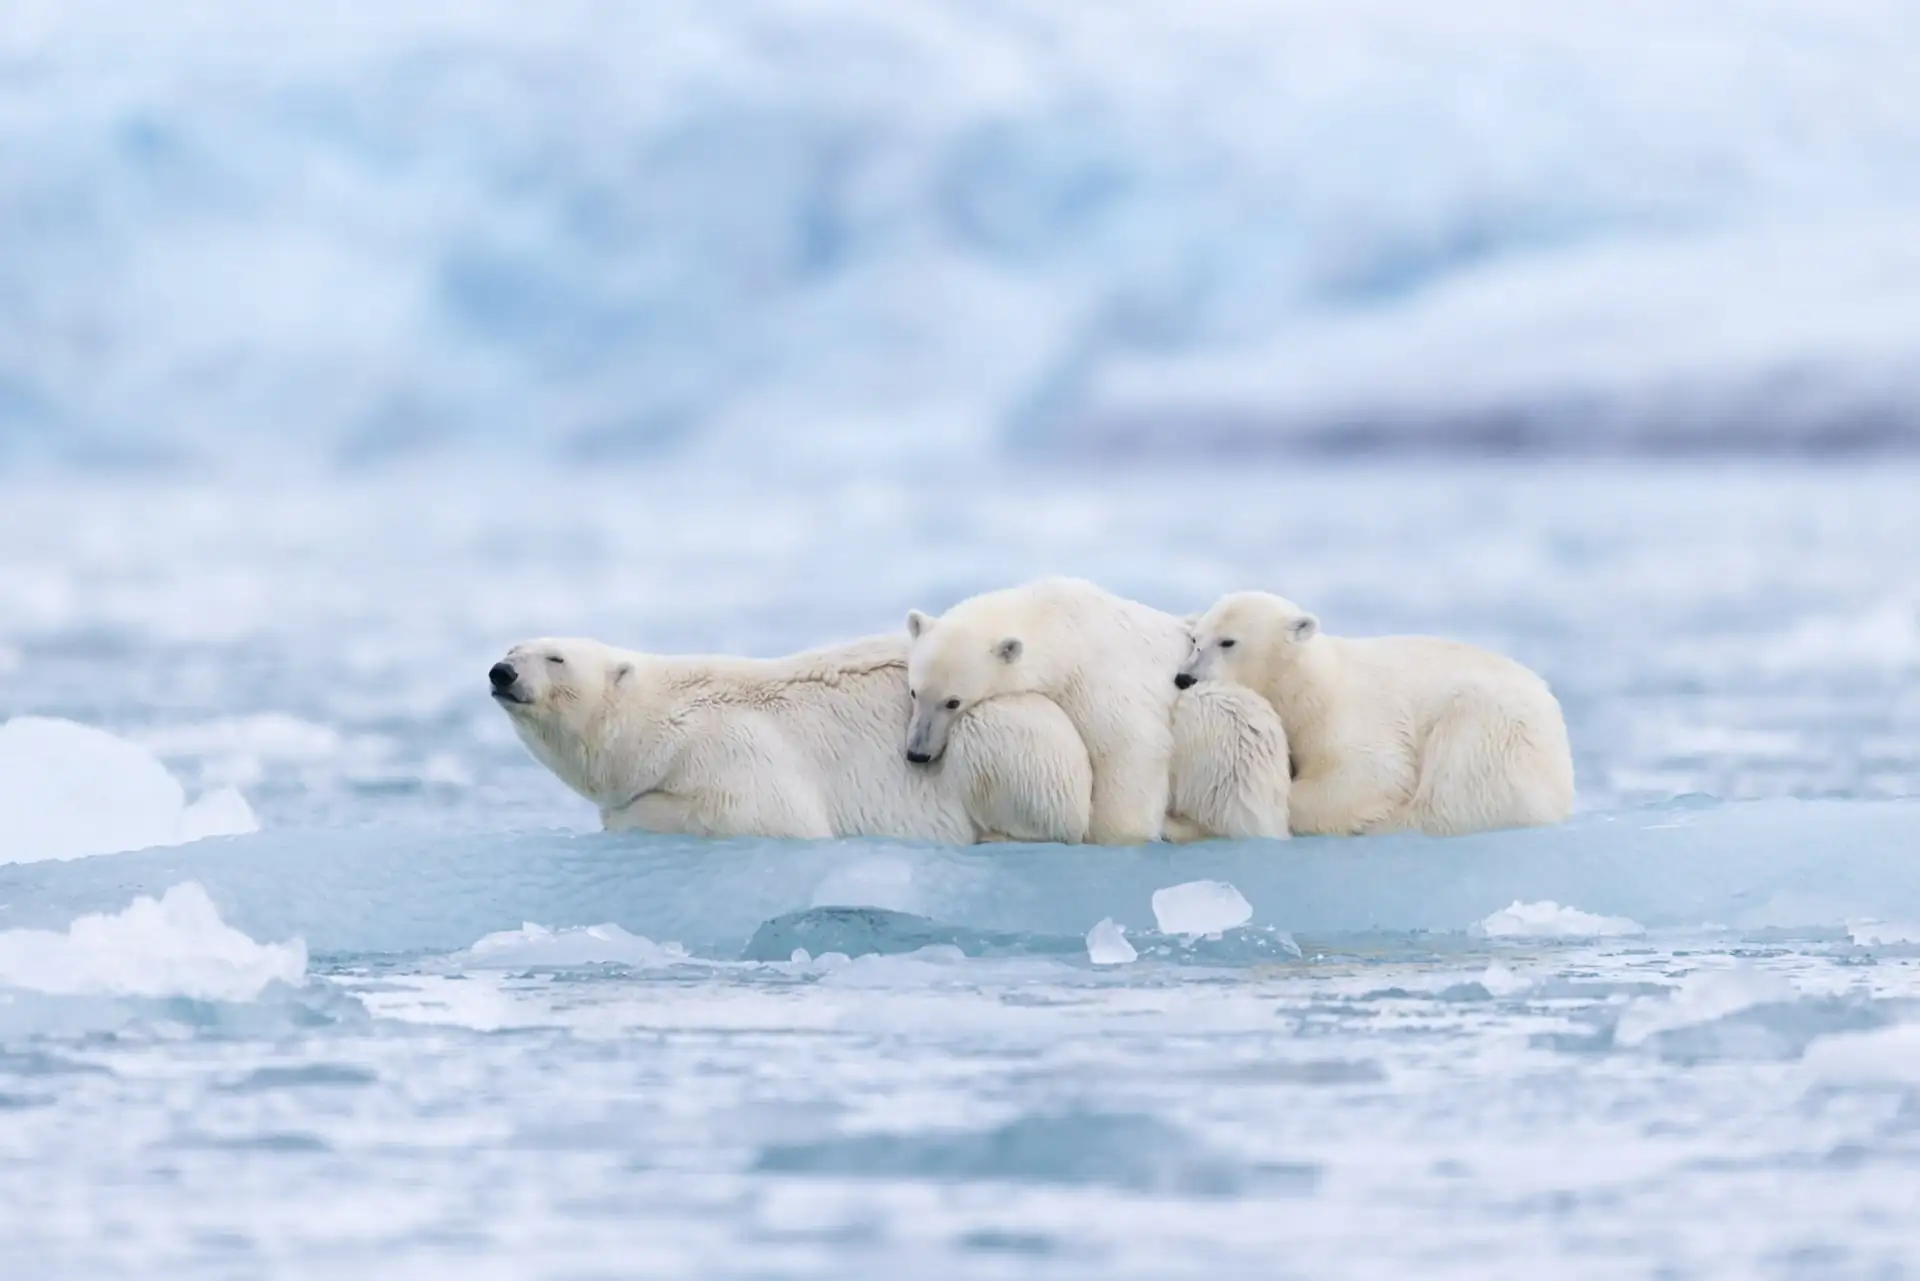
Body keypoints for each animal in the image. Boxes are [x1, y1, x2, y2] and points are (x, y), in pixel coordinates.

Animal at [489, 634, 1092, 843]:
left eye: (555, 657)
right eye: (514, 645)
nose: (502, 671)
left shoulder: (733, 746)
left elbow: (762, 814)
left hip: (1009, 727)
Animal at [904, 576, 1291, 845]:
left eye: (953, 701)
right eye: (914, 691)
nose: (917, 753)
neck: (1063, 625)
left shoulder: (1099, 675)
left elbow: (1132, 745)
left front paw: (1117, 833)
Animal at [1177, 591, 1574, 837]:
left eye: (1228, 641)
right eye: (1196, 639)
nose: (1184, 677)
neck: (1309, 683)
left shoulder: (1349, 713)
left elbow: (1368, 773)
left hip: (1493, 726)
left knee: (1459, 787)